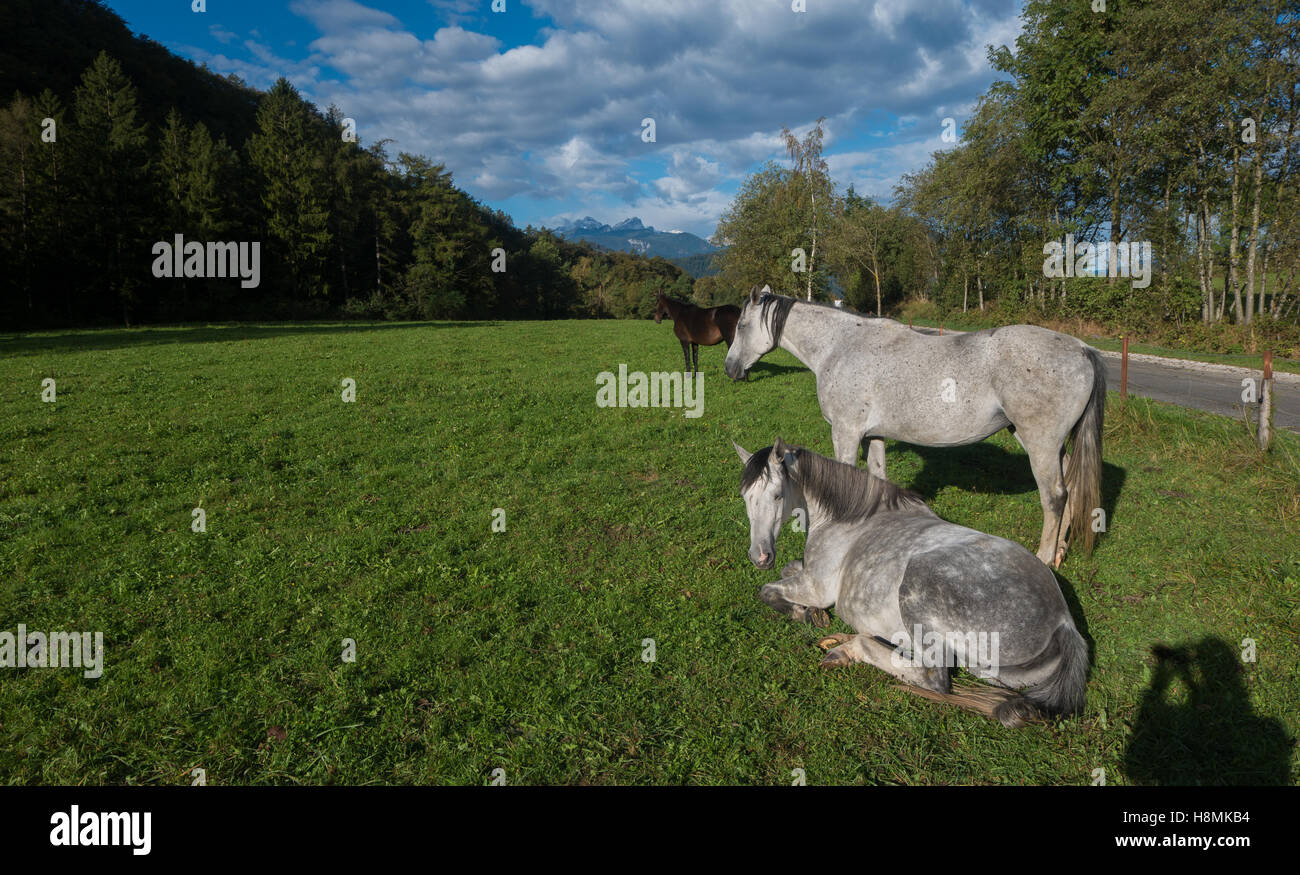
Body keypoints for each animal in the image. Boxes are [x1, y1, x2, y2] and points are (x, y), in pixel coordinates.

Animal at [723, 285, 1105, 567]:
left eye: (741, 326)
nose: (730, 368)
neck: (840, 347)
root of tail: (1082, 349)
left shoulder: (846, 433)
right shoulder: (874, 436)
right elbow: (876, 479)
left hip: (1040, 443)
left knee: (1054, 496)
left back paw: (1044, 558)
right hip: (1047, 444)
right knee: (1070, 486)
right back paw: (1060, 551)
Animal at [734, 438, 1088, 728]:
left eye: (777, 495)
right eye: (745, 497)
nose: (759, 556)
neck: (848, 519)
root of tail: (1062, 622)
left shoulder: (815, 588)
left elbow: (768, 590)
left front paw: (805, 614)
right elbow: (788, 570)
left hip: (919, 585)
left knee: (931, 676)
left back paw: (847, 648)